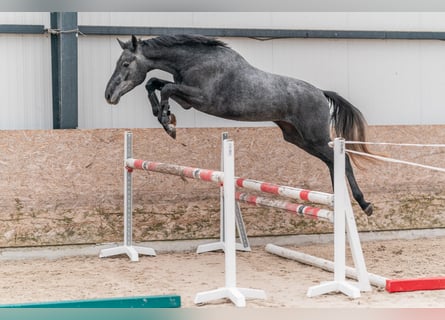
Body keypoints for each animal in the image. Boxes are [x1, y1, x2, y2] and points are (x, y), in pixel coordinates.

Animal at [106, 33, 372, 216]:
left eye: (126, 64)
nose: (109, 96)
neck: (194, 60)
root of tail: (320, 92)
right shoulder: (187, 100)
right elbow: (154, 83)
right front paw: (166, 117)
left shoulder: (200, 98)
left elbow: (165, 88)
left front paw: (167, 122)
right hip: (298, 138)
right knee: (332, 161)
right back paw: (345, 200)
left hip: (314, 137)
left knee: (343, 159)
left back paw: (363, 203)